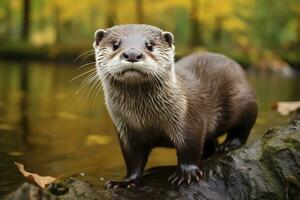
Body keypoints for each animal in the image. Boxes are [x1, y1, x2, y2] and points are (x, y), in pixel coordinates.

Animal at [93, 24, 258, 188]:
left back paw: (228, 145)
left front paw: (186, 174)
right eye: (115, 45)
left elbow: (189, 149)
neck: (146, 118)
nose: (132, 54)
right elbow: (133, 159)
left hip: (243, 100)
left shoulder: (188, 119)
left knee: (243, 127)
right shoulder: (125, 130)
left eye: (150, 45)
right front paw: (125, 182)